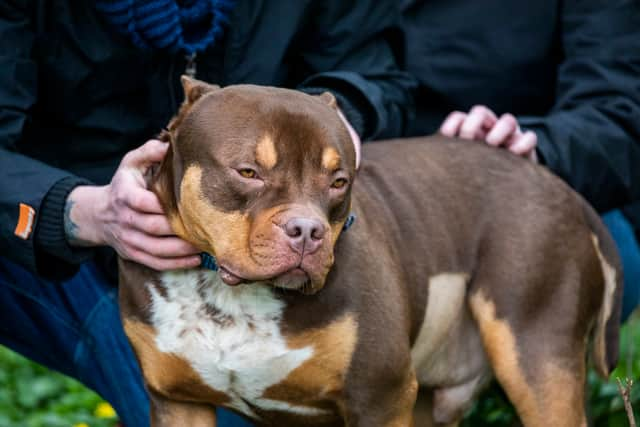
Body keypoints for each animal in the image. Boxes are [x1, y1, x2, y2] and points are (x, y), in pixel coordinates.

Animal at [119, 77, 620, 427]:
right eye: (248, 172)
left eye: (339, 181)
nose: (307, 232)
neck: (229, 294)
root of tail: (567, 192)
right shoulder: (178, 402)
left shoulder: (380, 395)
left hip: (537, 355)